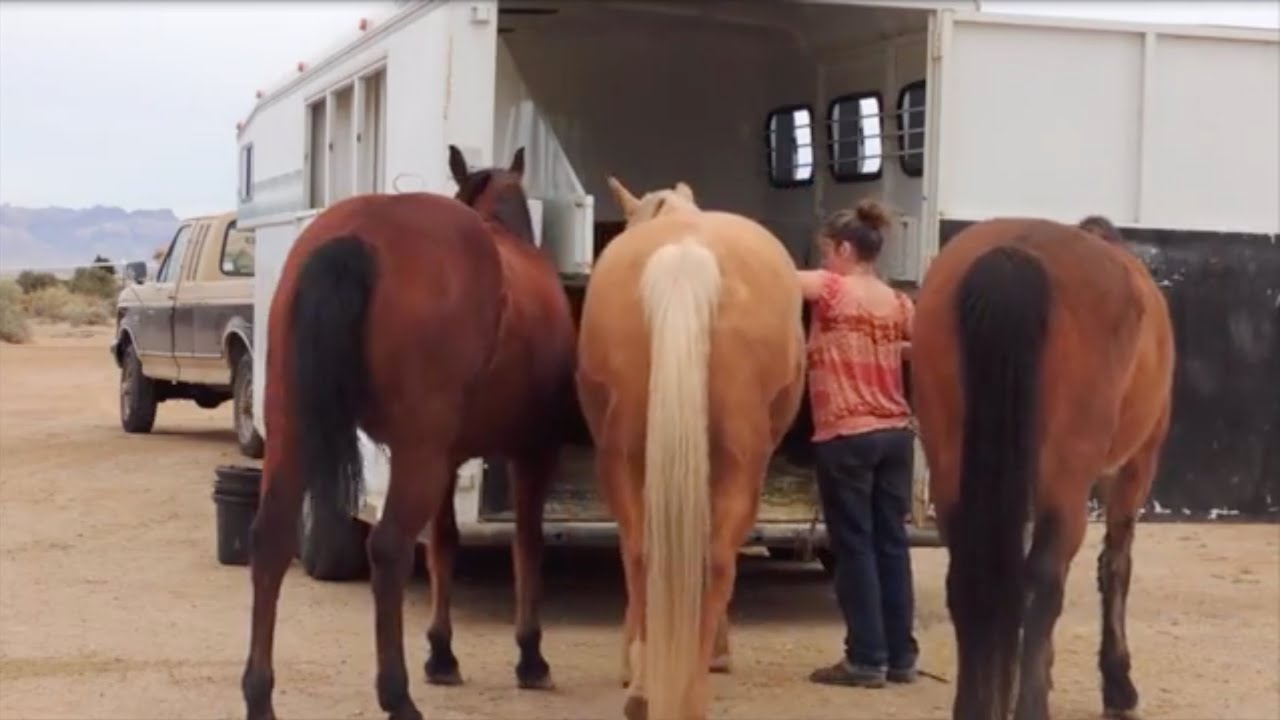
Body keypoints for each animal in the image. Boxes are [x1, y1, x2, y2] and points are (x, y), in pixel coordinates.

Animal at [240, 145, 578, 720]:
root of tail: (355, 236)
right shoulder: (531, 451)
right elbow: (526, 544)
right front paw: (531, 656)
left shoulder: (450, 457)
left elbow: (444, 543)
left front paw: (441, 654)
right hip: (416, 454)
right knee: (389, 548)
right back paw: (396, 697)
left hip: (295, 431)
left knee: (272, 540)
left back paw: (259, 697)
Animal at [576, 176, 807, 720]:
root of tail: (686, 256)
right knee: (711, 559)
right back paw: (683, 689)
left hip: (629, 457)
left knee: (647, 553)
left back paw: (650, 691)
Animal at [908, 215, 1175, 720]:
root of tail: (1016, 257)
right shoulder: (1135, 468)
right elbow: (1116, 565)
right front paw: (1119, 685)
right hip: (1068, 481)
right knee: (1044, 581)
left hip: (952, 468)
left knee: (972, 578)